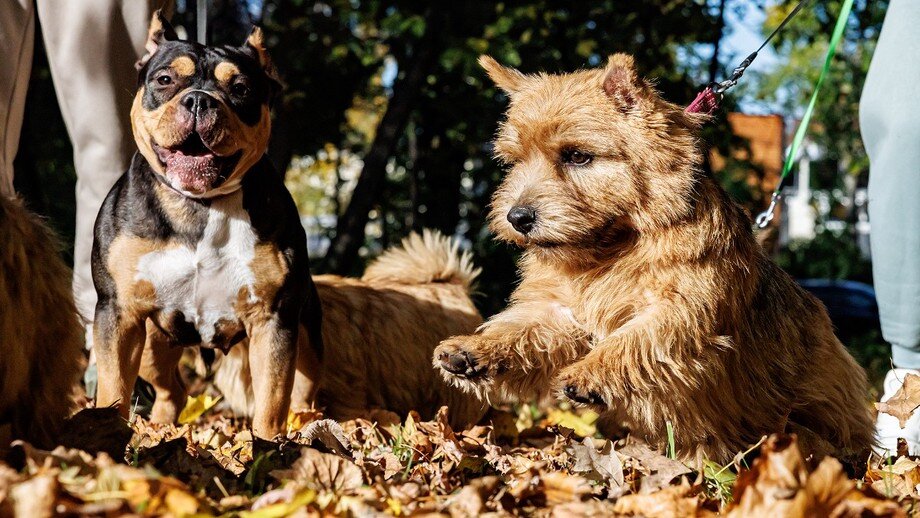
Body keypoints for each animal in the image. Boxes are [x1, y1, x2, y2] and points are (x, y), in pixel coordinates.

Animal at [88, 12, 322, 440]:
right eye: (165, 80)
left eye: (241, 88)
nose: (199, 99)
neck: (201, 204)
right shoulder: (118, 313)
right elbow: (113, 387)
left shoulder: (274, 321)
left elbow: (271, 402)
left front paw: (269, 446)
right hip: (150, 343)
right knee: (172, 391)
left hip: (307, 338)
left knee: (301, 395)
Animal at [434, 54, 872, 466]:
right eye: (515, 160)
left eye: (577, 156)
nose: (518, 217)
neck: (614, 249)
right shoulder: (562, 311)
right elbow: (525, 330)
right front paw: (474, 349)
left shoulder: (680, 310)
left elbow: (635, 339)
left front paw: (590, 373)